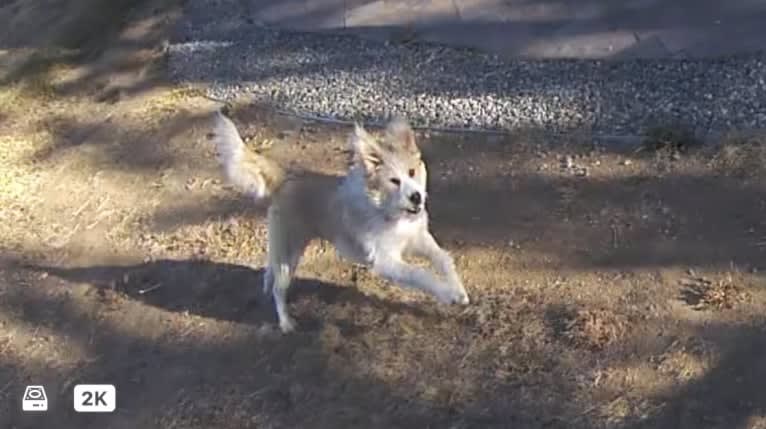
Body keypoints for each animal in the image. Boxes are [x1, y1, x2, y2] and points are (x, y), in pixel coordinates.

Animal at [213, 109, 472, 332]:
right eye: (394, 181)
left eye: (411, 172)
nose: (416, 197)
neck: (390, 211)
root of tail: (286, 178)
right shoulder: (386, 262)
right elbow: (421, 275)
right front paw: (447, 294)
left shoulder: (418, 238)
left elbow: (443, 258)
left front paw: (458, 290)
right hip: (290, 253)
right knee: (279, 288)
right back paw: (286, 322)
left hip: (282, 247)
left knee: (270, 268)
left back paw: (266, 285)